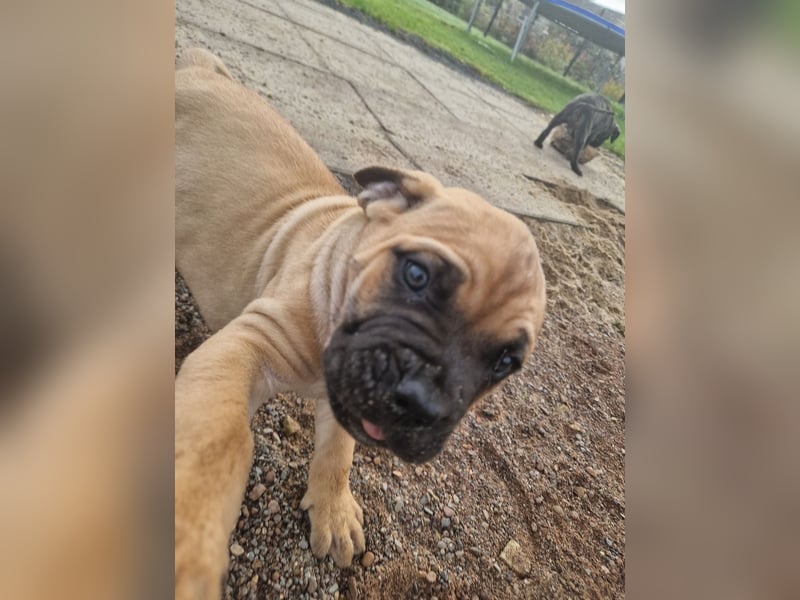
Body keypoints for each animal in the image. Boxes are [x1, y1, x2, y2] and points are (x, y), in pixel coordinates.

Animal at [175, 48, 548, 600]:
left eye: (505, 362)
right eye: (415, 274)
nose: (421, 403)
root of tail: (201, 67)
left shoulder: (345, 397)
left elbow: (339, 450)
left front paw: (332, 509)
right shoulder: (251, 341)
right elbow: (218, 440)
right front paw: (190, 536)